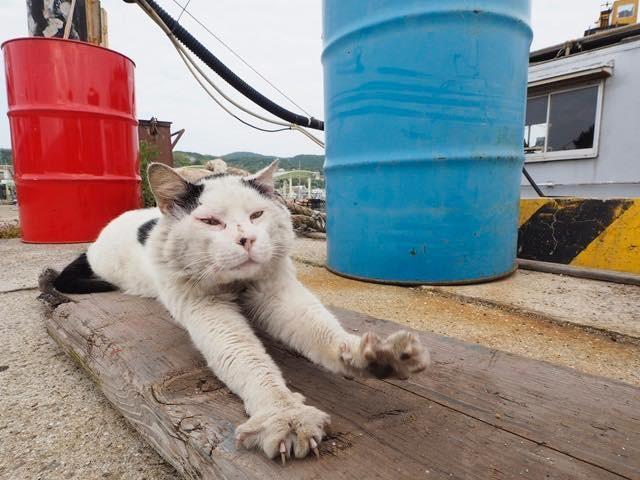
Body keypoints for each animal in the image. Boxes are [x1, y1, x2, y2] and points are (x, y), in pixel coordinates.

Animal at [50, 162, 430, 464]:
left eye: (257, 215)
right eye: (209, 221)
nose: (246, 239)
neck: (237, 285)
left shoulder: (277, 291)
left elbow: (322, 331)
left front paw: (373, 356)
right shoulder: (207, 310)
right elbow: (248, 361)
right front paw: (284, 415)